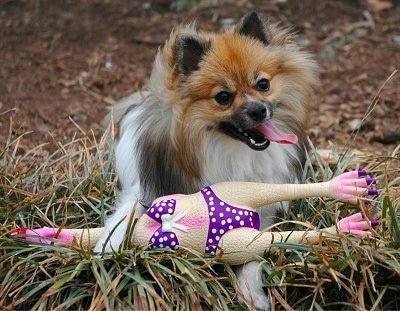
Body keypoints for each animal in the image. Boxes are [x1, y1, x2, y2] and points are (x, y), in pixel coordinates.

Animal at [95, 11, 320, 310]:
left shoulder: (263, 209)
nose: (259, 110)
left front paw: (252, 291)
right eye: (223, 97)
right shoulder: (147, 189)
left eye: (263, 84)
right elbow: (127, 213)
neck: (229, 149)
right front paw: (109, 245)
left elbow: (252, 247)